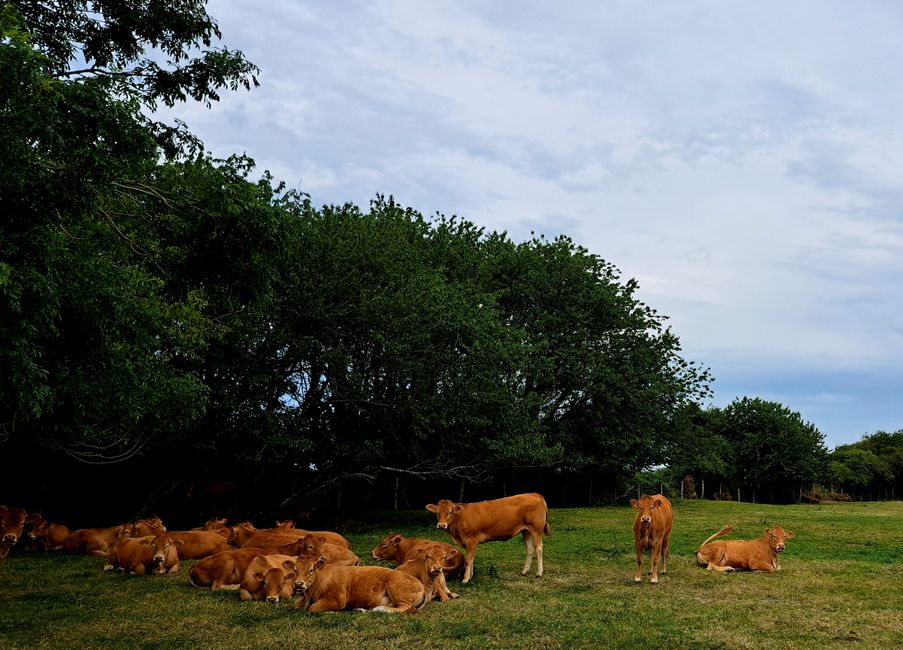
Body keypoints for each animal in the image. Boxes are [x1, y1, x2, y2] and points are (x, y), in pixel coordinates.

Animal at [293, 556, 427, 613]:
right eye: (295, 570)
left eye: (311, 570)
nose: (298, 583)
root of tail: (420, 584)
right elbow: (297, 604)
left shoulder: (338, 599)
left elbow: (313, 608)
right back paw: (360, 609)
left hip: (397, 589)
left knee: (404, 607)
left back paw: (379, 609)